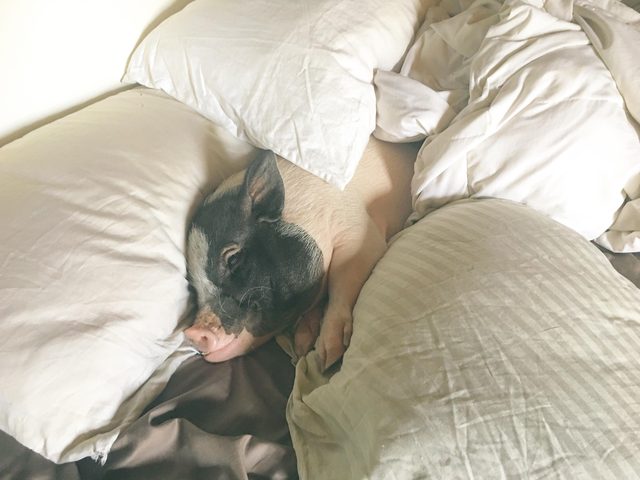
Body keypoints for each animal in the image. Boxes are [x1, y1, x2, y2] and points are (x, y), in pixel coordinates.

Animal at [184, 136, 419, 370]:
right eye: (193, 286)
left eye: (233, 258)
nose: (192, 333)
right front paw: (302, 345)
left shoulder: (359, 232)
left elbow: (343, 281)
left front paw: (326, 357)